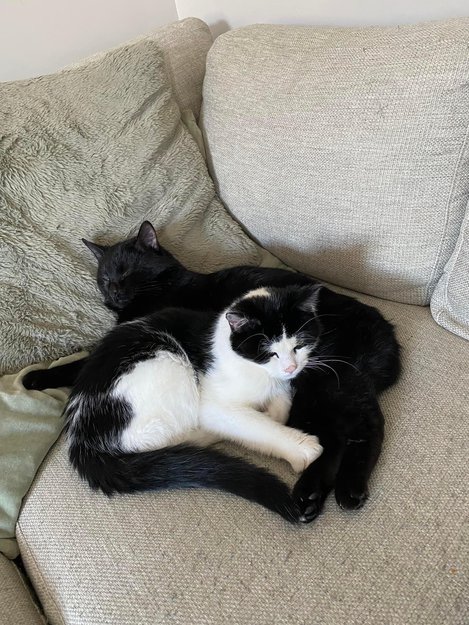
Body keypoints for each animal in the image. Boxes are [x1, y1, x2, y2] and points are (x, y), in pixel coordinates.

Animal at [65, 286, 324, 521]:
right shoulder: (215, 405)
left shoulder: (282, 385)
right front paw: (301, 447)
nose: (291, 368)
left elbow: (281, 406)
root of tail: (81, 436)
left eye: (299, 346)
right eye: (270, 353)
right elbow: (259, 426)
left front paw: (274, 409)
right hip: (168, 365)